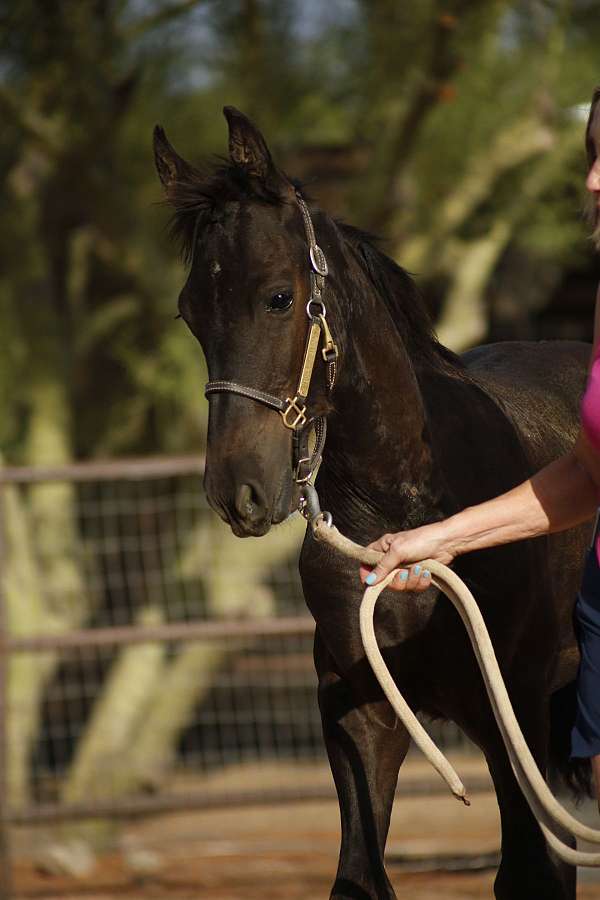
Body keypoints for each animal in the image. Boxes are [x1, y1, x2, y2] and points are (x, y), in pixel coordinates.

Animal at [154, 106, 592, 900]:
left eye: (279, 296)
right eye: (189, 313)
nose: (238, 490)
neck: (409, 502)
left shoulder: (512, 718)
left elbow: (530, 873)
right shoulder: (362, 716)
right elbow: (359, 877)